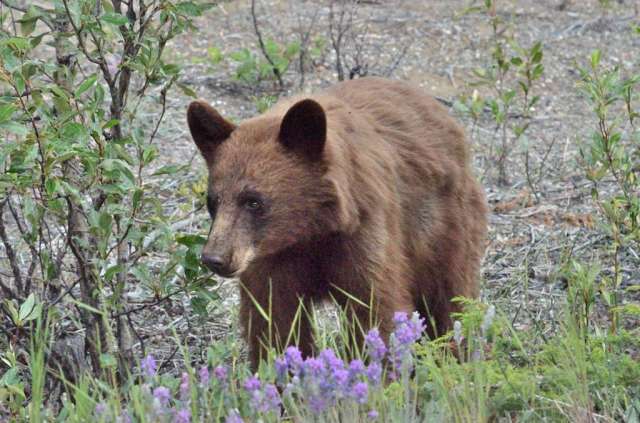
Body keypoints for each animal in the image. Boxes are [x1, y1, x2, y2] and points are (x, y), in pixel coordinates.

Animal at [187, 77, 487, 369]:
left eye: (253, 201)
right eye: (212, 201)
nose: (215, 258)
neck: (310, 231)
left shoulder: (363, 232)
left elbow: (375, 305)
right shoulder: (269, 257)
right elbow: (275, 320)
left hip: (446, 227)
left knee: (450, 296)